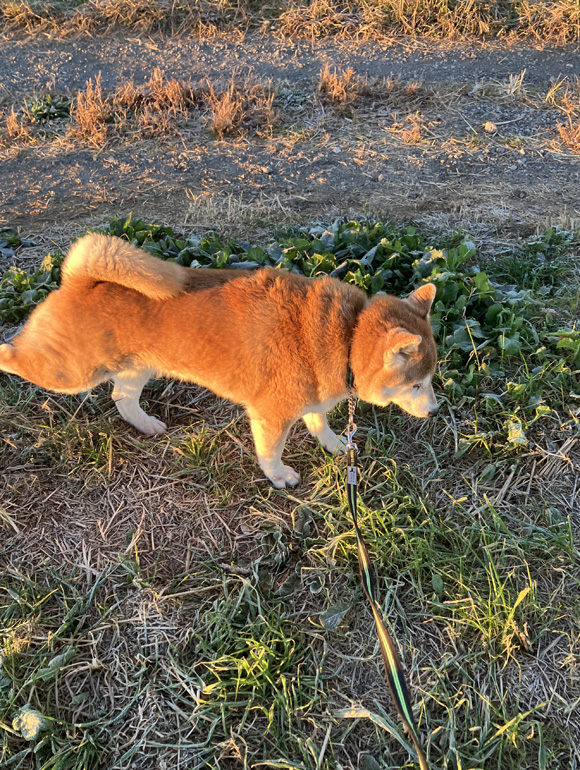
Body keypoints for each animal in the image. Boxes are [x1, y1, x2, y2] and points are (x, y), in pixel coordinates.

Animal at [0, 234, 439, 488]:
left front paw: (334, 446)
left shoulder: (311, 397)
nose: (435, 411)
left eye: (431, 379)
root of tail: (80, 281)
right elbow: (271, 452)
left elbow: (320, 424)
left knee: (122, 400)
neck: (348, 335)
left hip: (137, 368)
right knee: (15, 355)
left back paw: (147, 425)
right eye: (417, 383)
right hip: (71, 371)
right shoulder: (271, 414)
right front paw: (279, 476)